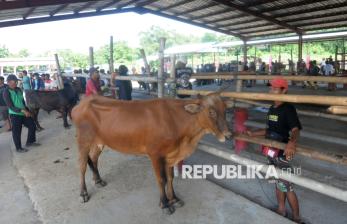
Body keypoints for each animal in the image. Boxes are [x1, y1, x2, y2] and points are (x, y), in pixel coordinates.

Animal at [71, 93, 231, 215]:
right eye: (211, 112)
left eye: (225, 110)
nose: (228, 135)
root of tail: (82, 103)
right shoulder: (155, 154)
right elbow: (161, 180)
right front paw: (165, 204)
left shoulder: (170, 155)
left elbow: (171, 178)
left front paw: (174, 199)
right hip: (83, 139)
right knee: (82, 165)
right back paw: (83, 193)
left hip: (99, 141)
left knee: (94, 159)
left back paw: (98, 180)